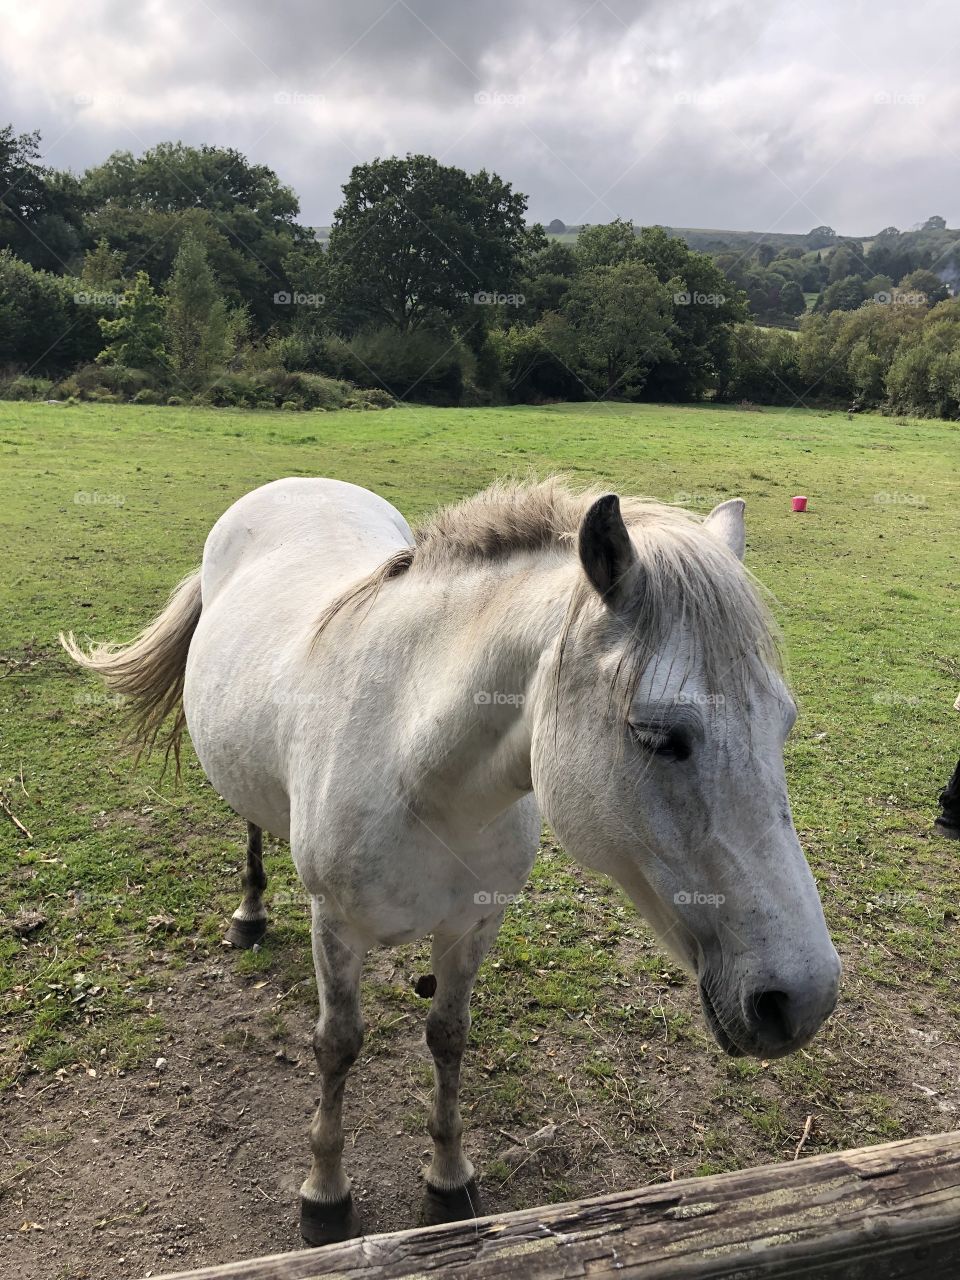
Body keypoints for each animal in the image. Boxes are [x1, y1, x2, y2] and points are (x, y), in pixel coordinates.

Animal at [62, 476, 839, 1244]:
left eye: (784, 724)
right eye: (656, 734)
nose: (803, 1000)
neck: (417, 769)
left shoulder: (473, 926)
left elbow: (448, 1038)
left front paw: (448, 1181)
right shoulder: (334, 928)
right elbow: (337, 1046)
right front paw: (325, 1196)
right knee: (252, 824)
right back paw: (249, 912)